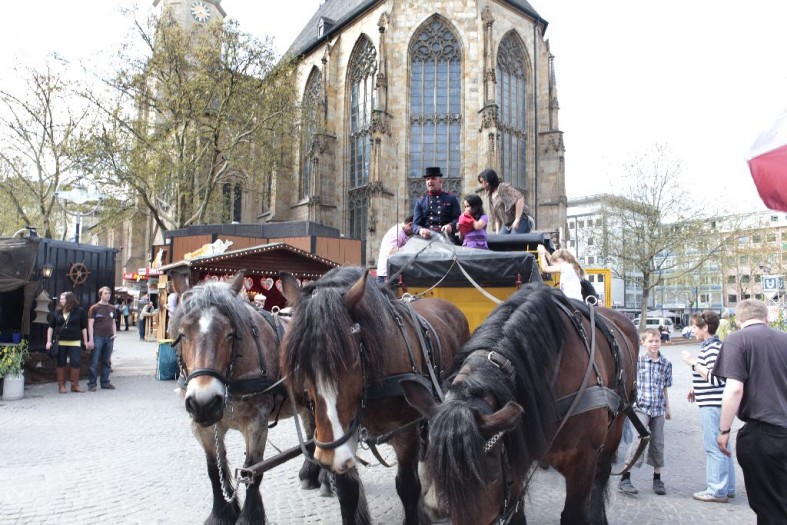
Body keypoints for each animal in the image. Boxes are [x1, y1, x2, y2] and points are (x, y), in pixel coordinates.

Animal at [169, 272, 326, 524]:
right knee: (313, 433)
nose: (204, 402)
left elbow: (253, 469)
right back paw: (310, 474)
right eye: (183, 334)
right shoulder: (201, 426)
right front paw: (221, 513)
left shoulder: (256, 423)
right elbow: (214, 468)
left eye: (230, 334)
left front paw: (249, 515)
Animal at [279, 266, 470, 524]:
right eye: (300, 364)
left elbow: (408, 487)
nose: (327, 456)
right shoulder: (345, 432)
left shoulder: (405, 432)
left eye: (352, 358)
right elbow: (348, 492)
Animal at [402, 283, 639, 525]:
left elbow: (574, 514)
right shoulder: (518, 459)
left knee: (603, 473)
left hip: (616, 427)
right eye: (431, 471)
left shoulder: (583, 462)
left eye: (488, 478)